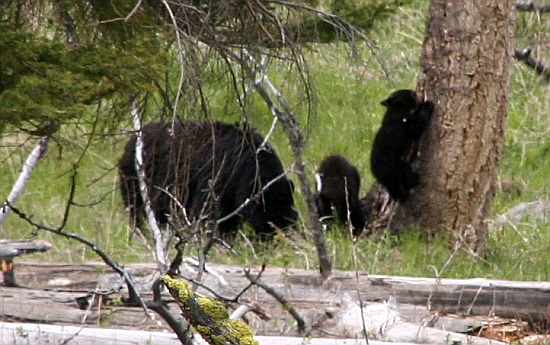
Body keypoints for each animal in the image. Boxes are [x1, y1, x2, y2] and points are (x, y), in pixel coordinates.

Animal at [117, 120, 298, 239]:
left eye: (290, 219)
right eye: (271, 220)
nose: (280, 240)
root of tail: (132, 139)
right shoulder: (220, 174)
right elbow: (208, 209)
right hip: (137, 176)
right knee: (137, 207)